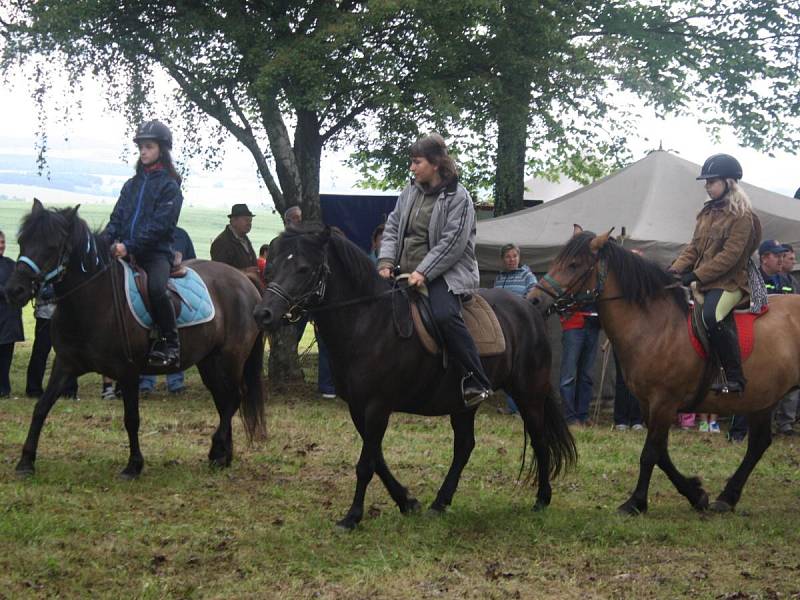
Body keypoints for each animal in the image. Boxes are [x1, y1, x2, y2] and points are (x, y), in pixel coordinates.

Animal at [3, 199, 266, 480]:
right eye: (22, 241)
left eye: (52, 246)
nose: (14, 290)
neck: (93, 300)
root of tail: (245, 280)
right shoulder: (65, 365)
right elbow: (41, 407)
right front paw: (26, 461)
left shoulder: (128, 371)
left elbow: (131, 418)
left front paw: (133, 465)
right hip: (209, 361)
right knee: (223, 399)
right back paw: (223, 456)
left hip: (231, 358)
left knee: (235, 397)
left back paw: (217, 449)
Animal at [253, 225, 572, 528]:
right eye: (271, 267)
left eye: (304, 269)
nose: (263, 314)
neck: (369, 321)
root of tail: (529, 309)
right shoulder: (358, 407)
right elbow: (376, 459)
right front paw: (407, 502)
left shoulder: (377, 406)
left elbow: (366, 464)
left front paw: (352, 517)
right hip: (464, 404)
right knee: (464, 446)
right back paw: (440, 503)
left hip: (529, 394)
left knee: (539, 440)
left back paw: (542, 499)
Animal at [532, 230, 800, 516]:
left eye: (574, 265)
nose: (534, 299)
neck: (656, 326)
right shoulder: (648, 404)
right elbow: (661, 453)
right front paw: (696, 494)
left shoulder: (664, 402)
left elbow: (650, 453)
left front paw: (635, 502)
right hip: (763, 398)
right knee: (759, 443)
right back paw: (727, 497)